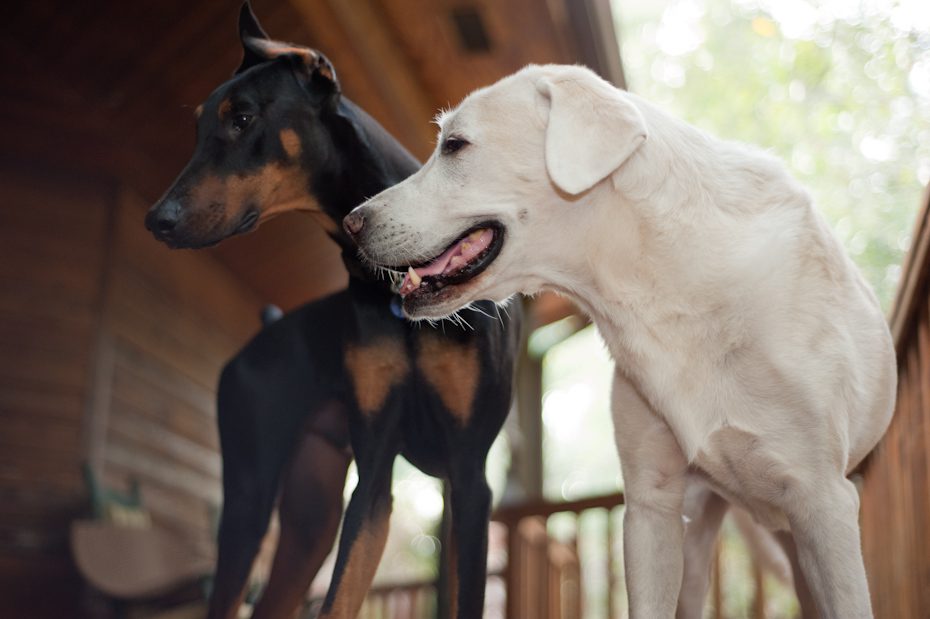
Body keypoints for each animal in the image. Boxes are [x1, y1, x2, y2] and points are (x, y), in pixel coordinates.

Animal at [149, 4, 520, 619]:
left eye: (242, 118)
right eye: (199, 127)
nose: (156, 219)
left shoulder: (469, 476)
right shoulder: (373, 473)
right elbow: (341, 593)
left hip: (309, 512)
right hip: (254, 494)